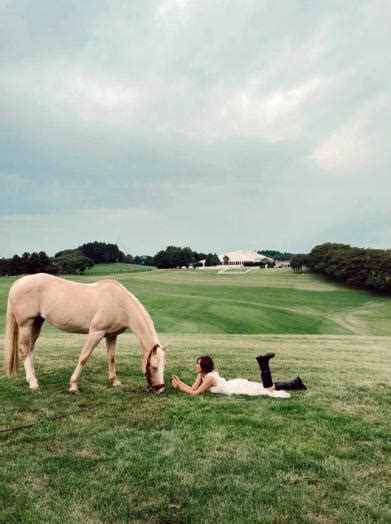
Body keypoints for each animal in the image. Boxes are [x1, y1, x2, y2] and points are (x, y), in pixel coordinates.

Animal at [4, 274, 167, 392]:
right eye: (153, 367)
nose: (160, 389)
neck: (119, 302)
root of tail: (18, 282)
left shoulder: (111, 335)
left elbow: (111, 358)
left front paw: (115, 382)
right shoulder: (96, 332)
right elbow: (84, 357)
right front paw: (73, 385)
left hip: (36, 323)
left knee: (30, 349)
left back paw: (33, 378)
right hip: (25, 324)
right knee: (24, 349)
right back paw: (33, 383)